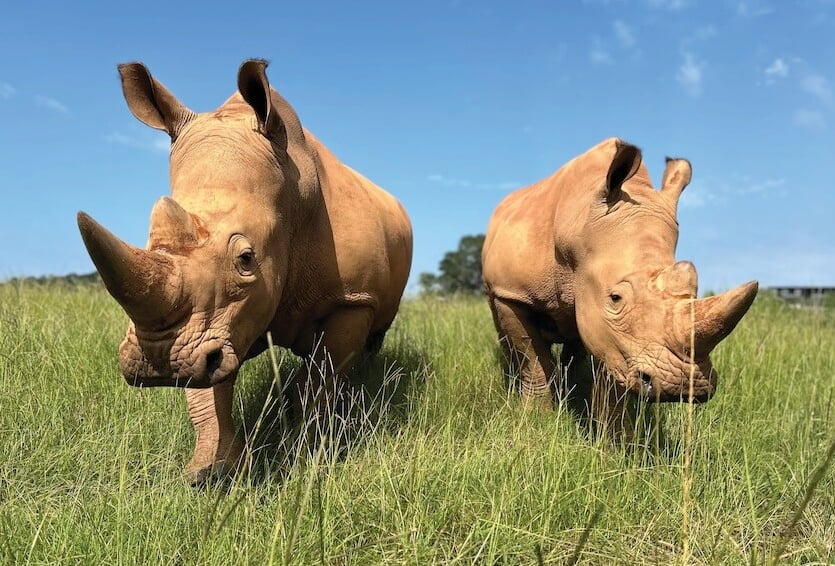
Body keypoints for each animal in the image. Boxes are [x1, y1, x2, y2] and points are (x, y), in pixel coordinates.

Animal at [77, 60, 413, 481]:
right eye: (151, 242)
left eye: (246, 259)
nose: (159, 363)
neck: (291, 198)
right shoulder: (209, 331)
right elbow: (207, 389)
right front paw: (210, 472)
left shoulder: (351, 298)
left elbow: (325, 377)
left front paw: (312, 454)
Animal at [482, 138, 757, 426]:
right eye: (616, 298)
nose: (684, 387)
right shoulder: (512, 293)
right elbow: (532, 359)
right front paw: (537, 418)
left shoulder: (610, 328)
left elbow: (611, 375)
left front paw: (613, 432)